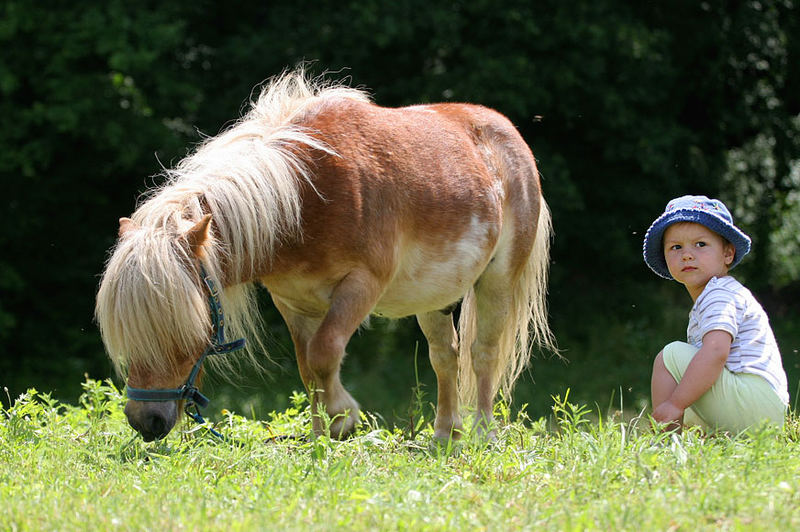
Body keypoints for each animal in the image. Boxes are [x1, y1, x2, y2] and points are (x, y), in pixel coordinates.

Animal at [95, 69, 556, 440]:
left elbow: (325, 351)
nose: (145, 421)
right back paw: (445, 436)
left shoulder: (360, 286)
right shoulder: (293, 303)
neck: (303, 196)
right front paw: (319, 437)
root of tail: (506, 133)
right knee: (446, 356)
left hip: (496, 281)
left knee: (483, 354)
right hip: (435, 296)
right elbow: (307, 368)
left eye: (183, 332)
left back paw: (483, 434)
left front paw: (343, 418)